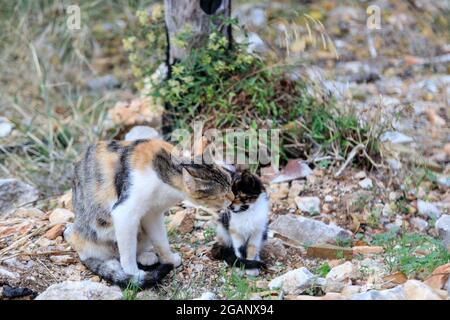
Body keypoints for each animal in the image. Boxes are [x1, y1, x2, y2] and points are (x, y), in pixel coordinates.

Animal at [67, 139, 236, 288]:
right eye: (223, 195)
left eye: (230, 184)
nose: (233, 198)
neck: (164, 170)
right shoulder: (124, 212)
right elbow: (127, 251)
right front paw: (133, 274)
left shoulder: (152, 213)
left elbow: (161, 241)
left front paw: (169, 259)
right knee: (99, 255)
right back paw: (115, 265)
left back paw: (146, 256)